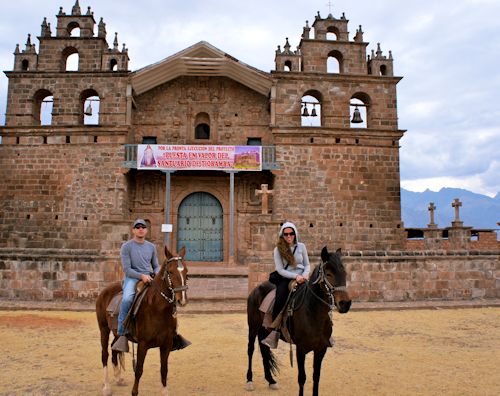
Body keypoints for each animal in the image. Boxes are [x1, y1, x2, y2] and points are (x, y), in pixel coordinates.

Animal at [94, 246, 188, 394]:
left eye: (186, 272)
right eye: (170, 271)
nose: (181, 300)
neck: (157, 309)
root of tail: (105, 291)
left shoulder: (166, 344)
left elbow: (164, 371)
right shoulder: (143, 344)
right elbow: (138, 370)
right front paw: (134, 392)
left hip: (117, 334)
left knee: (114, 348)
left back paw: (118, 378)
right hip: (103, 328)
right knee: (105, 354)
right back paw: (107, 387)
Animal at [246, 246, 352, 394]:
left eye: (344, 272)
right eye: (328, 273)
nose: (345, 303)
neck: (313, 313)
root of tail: (256, 289)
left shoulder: (321, 349)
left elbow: (316, 377)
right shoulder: (300, 349)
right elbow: (302, 378)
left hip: (264, 330)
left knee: (264, 349)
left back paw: (271, 380)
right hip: (253, 326)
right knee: (251, 349)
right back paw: (249, 380)